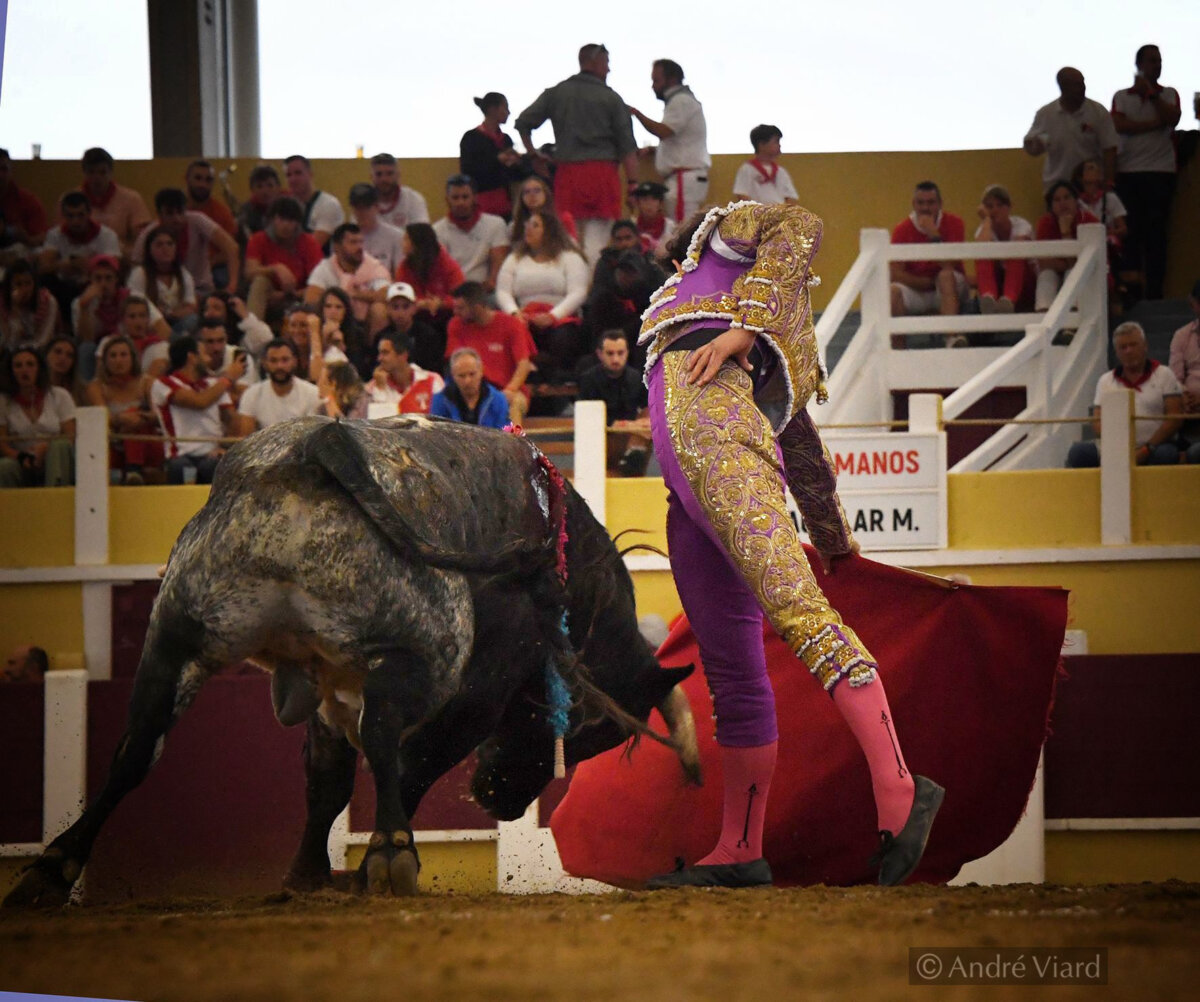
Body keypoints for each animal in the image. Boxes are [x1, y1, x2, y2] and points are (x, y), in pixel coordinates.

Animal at [5, 415, 700, 908]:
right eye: (585, 730)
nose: (500, 801)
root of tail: (318, 447)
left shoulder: (322, 678)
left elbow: (327, 782)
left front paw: (306, 876)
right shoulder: (477, 697)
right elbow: (407, 766)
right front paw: (368, 864)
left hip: (178, 633)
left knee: (136, 745)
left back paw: (51, 870)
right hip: (418, 653)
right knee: (390, 736)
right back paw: (393, 855)